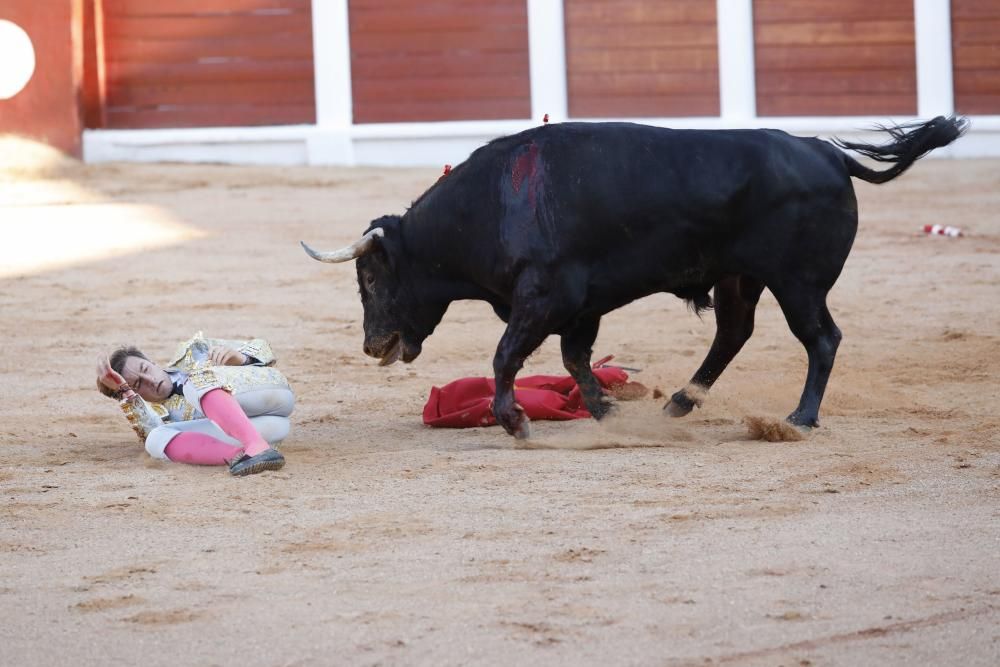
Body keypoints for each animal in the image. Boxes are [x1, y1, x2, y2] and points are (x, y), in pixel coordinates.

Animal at [300, 118, 964, 438]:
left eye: (371, 279)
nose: (373, 346)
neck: (493, 205)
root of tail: (828, 153)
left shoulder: (546, 295)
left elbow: (506, 356)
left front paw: (515, 421)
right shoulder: (580, 306)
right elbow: (573, 359)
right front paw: (605, 412)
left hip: (798, 281)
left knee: (820, 338)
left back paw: (799, 419)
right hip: (739, 277)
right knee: (734, 334)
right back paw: (679, 403)